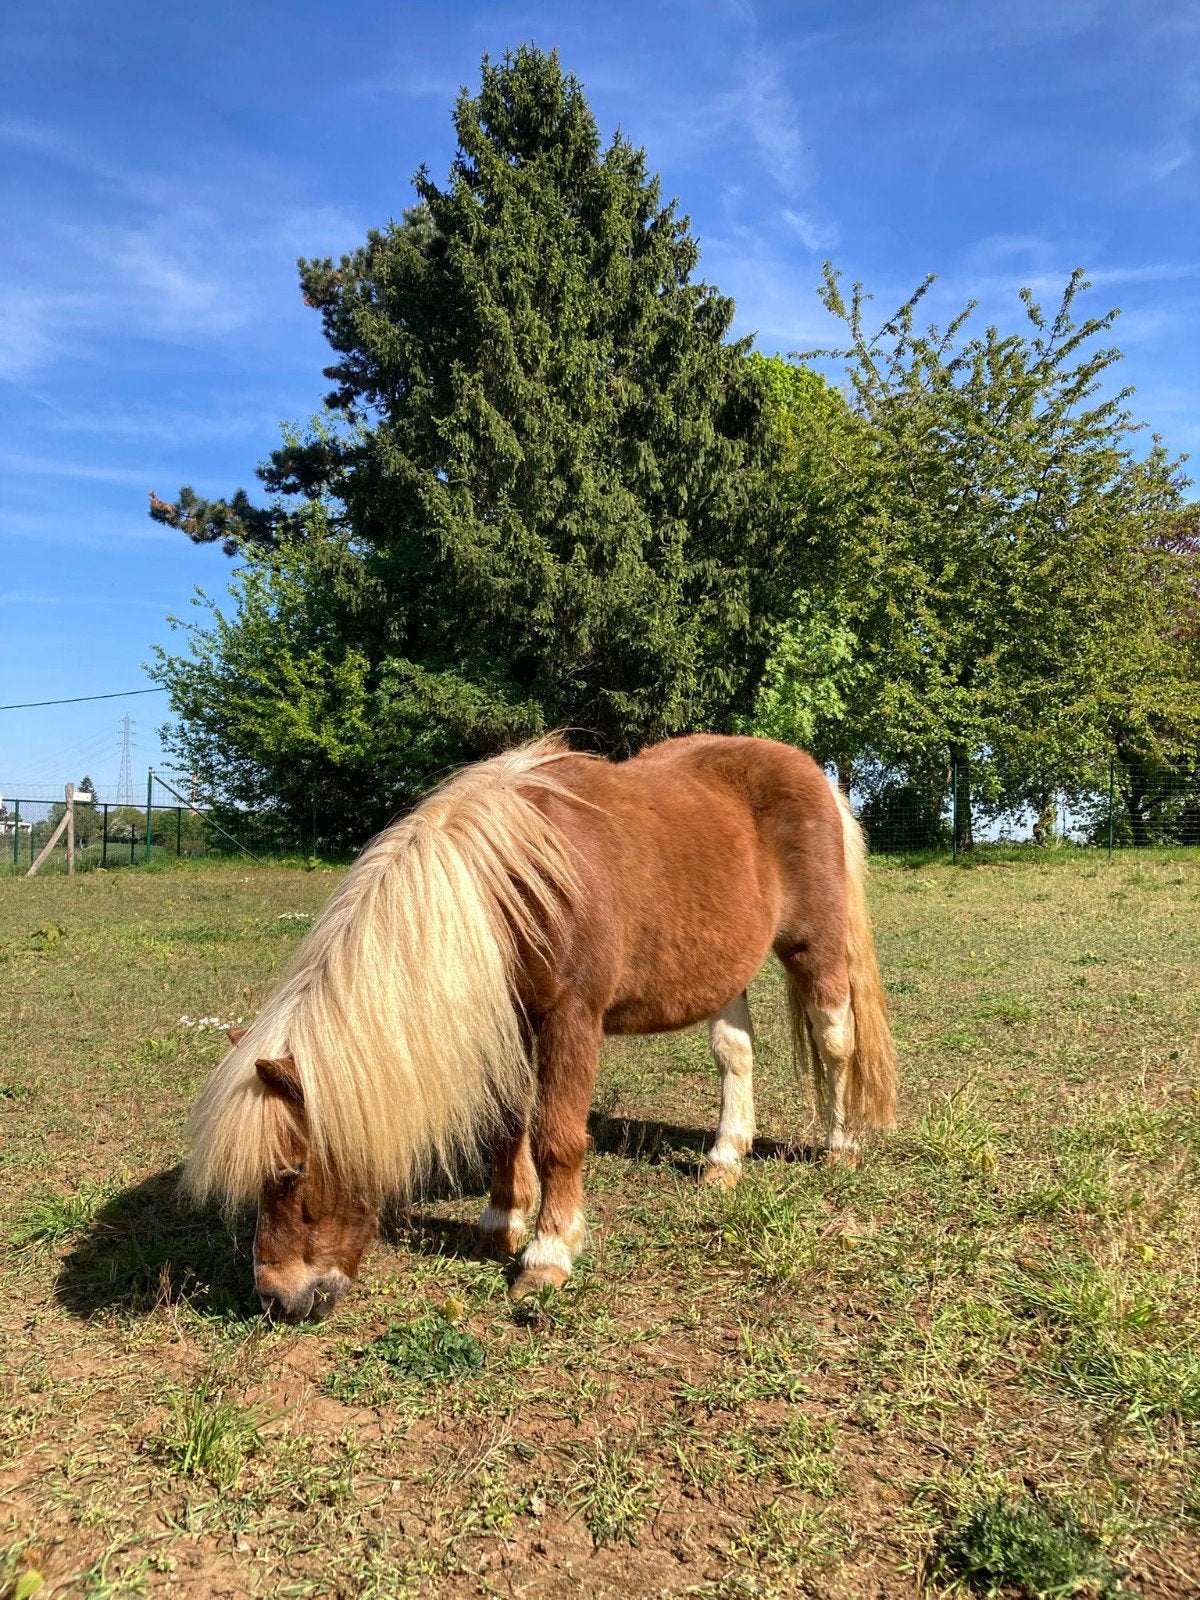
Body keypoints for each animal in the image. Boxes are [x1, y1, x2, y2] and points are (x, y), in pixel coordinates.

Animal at [186, 733, 897, 1321]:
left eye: (292, 1170)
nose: (277, 1298)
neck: (514, 888)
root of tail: (816, 775)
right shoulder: (509, 1023)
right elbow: (507, 1124)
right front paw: (503, 1220)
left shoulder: (571, 1020)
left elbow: (558, 1135)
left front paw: (547, 1254)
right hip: (724, 969)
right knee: (735, 1054)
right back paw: (725, 1158)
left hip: (816, 950)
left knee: (837, 1044)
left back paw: (840, 1146)